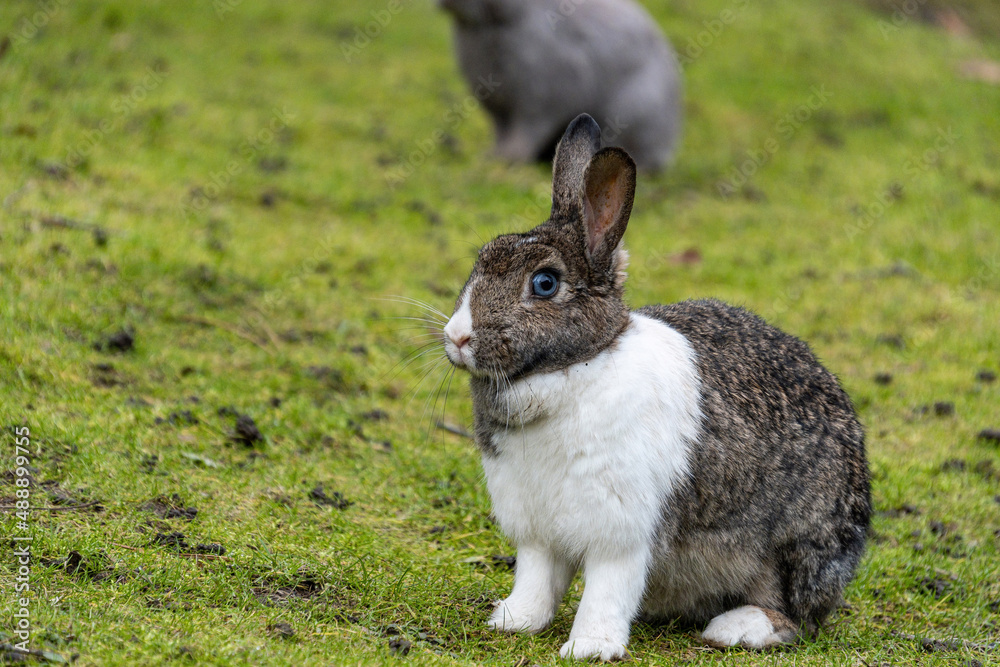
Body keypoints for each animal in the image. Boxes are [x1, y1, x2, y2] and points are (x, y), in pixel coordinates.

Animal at [439, 0, 682, 171]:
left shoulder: (539, 102)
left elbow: (527, 131)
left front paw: (511, 157)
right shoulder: (500, 109)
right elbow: (502, 130)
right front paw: (493, 155)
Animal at [441, 114, 871, 661]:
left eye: (544, 283)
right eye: (483, 255)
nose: (457, 337)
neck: (576, 369)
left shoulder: (622, 529)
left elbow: (607, 589)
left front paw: (589, 647)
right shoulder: (537, 531)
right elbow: (537, 581)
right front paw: (514, 621)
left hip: (793, 549)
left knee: (795, 617)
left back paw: (736, 627)